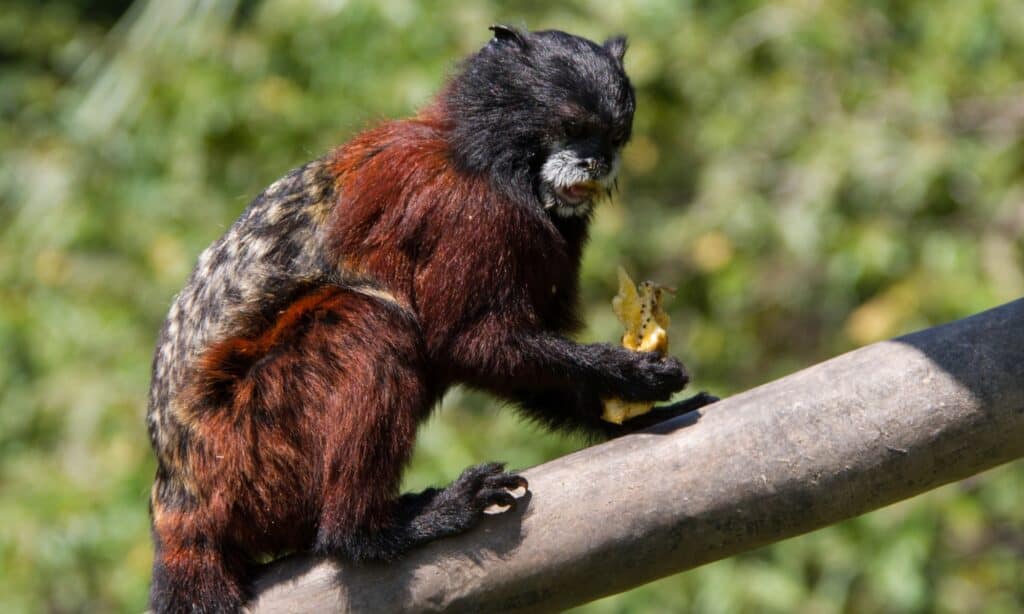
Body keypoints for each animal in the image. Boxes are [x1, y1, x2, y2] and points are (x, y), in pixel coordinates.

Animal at [149, 26, 712, 609]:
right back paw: (373, 531)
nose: (596, 162)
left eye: (613, 138)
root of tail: (182, 502)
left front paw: (626, 412)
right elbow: (467, 343)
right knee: (370, 323)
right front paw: (628, 373)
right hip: (249, 456)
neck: (488, 160)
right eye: (575, 130)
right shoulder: (466, 211)